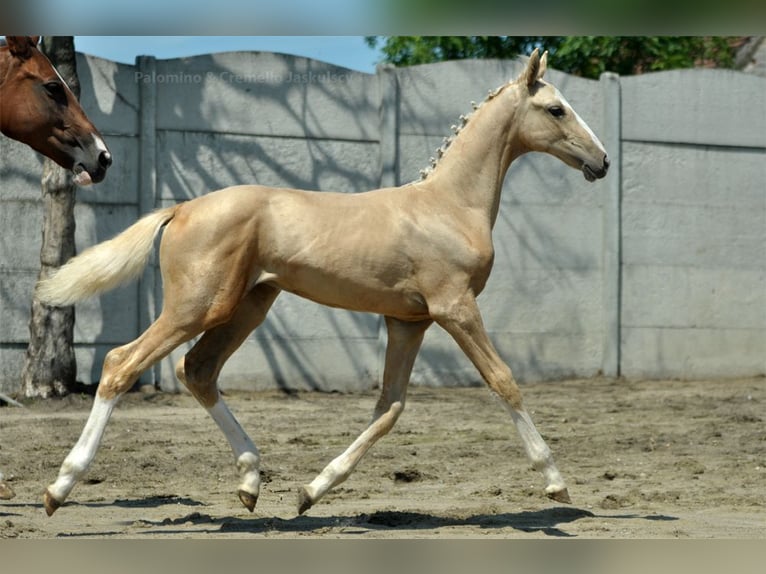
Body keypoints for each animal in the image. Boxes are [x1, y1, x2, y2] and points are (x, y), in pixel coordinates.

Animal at [37, 48, 612, 516]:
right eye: (556, 109)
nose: (602, 161)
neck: (449, 206)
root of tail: (181, 208)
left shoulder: (409, 321)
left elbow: (389, 407)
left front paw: (310, 492)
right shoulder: (455, 307)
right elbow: (504, 380)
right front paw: (556, 483)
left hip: (249, 305)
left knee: (197, 370)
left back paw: (251, 482)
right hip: (197, 306)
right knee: (122, 363)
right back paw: (59, 488)